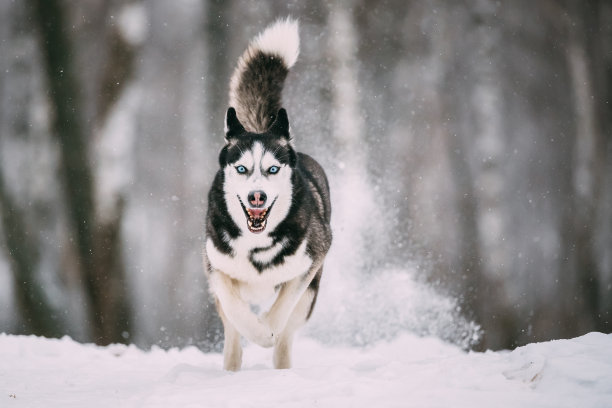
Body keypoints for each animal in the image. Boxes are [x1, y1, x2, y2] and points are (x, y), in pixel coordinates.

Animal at [203, 18, 330, 370]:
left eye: (273, 169)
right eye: (242, 169)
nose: (256, 197)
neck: (256, 244)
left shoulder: (311, 259)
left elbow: (282, 310)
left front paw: (266, 332)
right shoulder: (216, 265)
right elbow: (234, 308)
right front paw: (255, 331)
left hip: (312, 293)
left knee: (287, 334)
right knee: (232, 332)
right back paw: (231, 367)